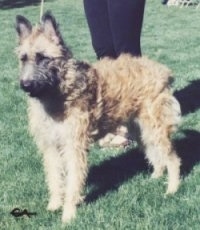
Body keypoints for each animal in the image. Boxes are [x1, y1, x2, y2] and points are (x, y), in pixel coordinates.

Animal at [15, 12, 181, 223]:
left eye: (43, 58)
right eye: (23, 59)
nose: (25, 85)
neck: (58, 93)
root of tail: (163, 71)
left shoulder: (74, 146)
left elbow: (73, 181)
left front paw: (68, 214)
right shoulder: (50, 145)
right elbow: (54, 176)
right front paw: (54, 204)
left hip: (155, 127)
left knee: (173, 158)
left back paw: (172, 189)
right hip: (141, 130)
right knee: (156, 154)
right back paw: (156, 177)